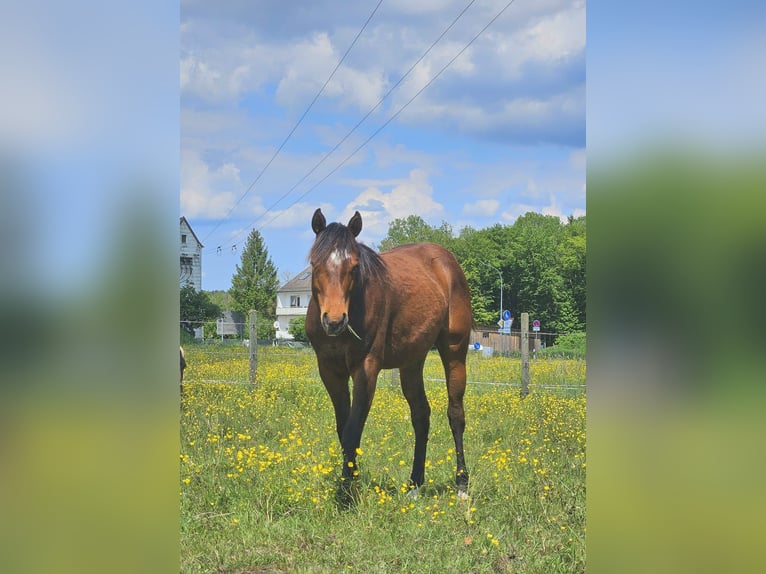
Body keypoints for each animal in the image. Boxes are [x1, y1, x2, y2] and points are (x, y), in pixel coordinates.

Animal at [308, 209, 474, 502]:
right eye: (315, 265)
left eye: (354, 267)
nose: (335, 321)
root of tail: (447, 261)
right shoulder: (329, 371)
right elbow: (343, 429)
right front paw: (351, 482)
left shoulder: (366, 370)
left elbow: (352, 430)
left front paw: (347, 492)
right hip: (412, 362)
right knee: (421, 415)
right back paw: (414, 484)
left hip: (454, 351)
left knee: (455, 415)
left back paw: (462, 485)